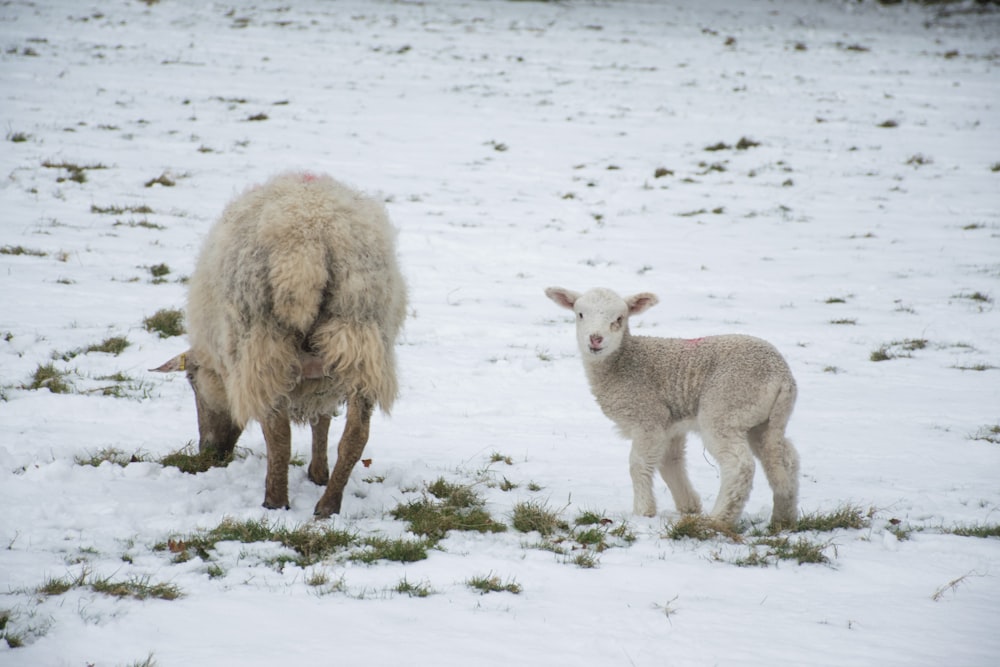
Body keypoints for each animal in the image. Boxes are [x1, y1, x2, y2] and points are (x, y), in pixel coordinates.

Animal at [154, 171, 404, 516]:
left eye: (191, 380)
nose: (209, 453)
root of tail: (308, 239)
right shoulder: (322, 377)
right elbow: (321, 419)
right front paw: (318, 472)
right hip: (360, 331)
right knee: (355, 433)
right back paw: (328, 504)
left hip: (262, 341)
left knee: (278, 433)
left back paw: (274, 500)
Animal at [544, 284, 800, 528]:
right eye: (580, 314)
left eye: (619, 318)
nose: (595, 339)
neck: (623, 362)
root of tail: (782, 377)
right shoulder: (671, 423)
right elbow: (670, 463)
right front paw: (688, 506)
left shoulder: (648, 416)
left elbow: (638, 464)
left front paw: (643, 511)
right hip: (762, 419)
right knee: (785, 458)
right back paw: (783, 517)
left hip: (726, 406)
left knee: (740, 465)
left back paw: (719, 519)